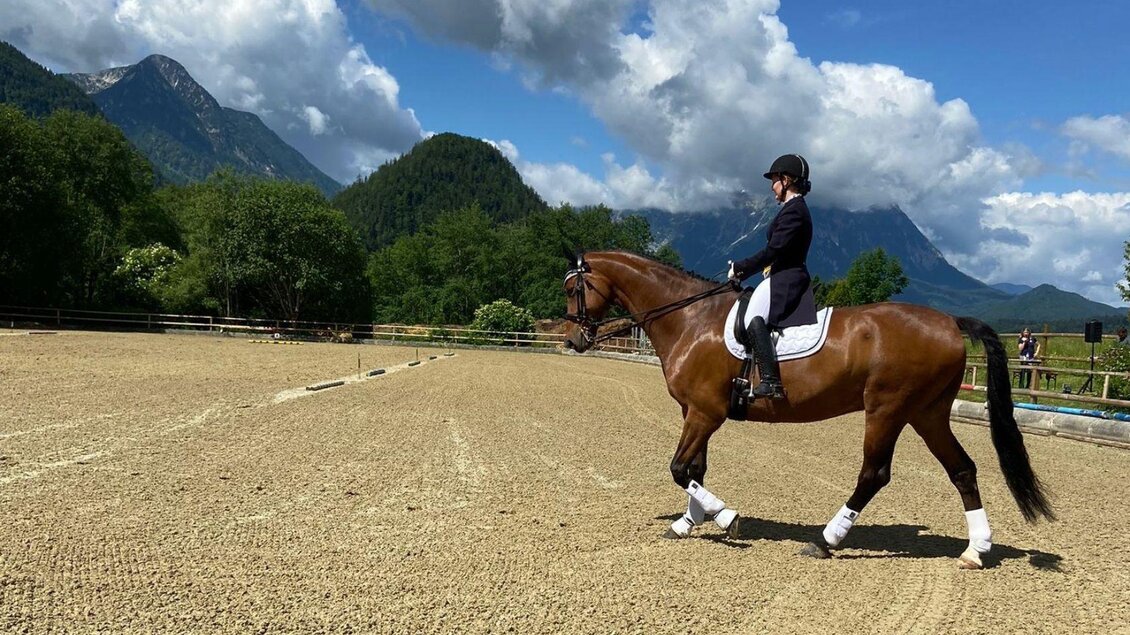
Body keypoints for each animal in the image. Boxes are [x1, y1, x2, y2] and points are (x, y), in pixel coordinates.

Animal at [562, 250, 1054, 569]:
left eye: (574, 288)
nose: (572, 340)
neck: (691, 320)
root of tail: (950, 321)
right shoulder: (695, 412)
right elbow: (695, 468)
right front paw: (688, 523)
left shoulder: (705, 413)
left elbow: (681, 468)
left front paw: (727, 518)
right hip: (926, 413)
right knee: (962, 469)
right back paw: (976, 550)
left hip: (887, 409)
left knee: (874, 474)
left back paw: (825, 540)